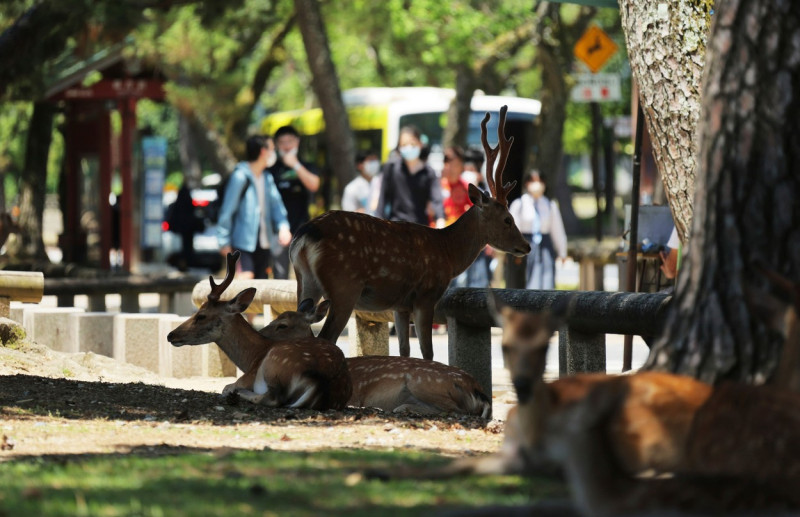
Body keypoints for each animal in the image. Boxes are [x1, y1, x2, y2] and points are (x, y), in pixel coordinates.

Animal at [167, 252, 352, 410]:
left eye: (201, 315)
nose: (171, 335)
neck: (252, 357)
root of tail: (321, 382)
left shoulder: (248, 377)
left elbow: (227, 386)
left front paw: (231, 391)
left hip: (275, 365)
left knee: (270, 397)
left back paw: (236, 393)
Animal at [260, 300, 490, 418]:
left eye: (283, 325)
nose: (260, 334)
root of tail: (479, 391)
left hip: (424, 381)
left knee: (456, 410)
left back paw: (399, 408)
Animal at [288, 106, 532, 358]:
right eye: (508, 219)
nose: (526, 246)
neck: (448, 253)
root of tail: (305, 235)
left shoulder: (400, 305)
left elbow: (404, 349)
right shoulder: (426, 295)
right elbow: (428, 351)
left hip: (304, 280)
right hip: (344, 285)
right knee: (326, 337)